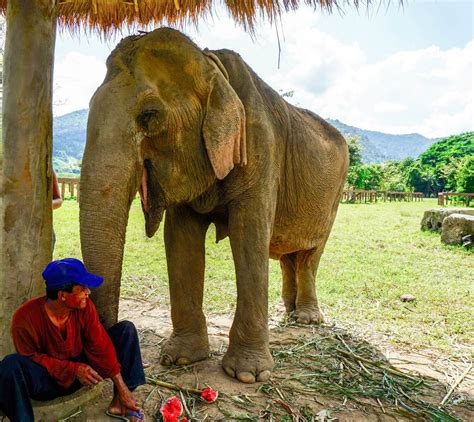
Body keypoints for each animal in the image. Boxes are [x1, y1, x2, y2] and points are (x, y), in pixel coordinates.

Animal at [80, 26, 348, 382]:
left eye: (148, 116)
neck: (211, 64)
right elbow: (180, 239)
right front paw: (180, 359)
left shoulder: (260, 148)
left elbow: (249, 236)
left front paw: (248, 375)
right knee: (288, 257)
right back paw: (286, 313)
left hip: (333, 199)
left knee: (308, 256)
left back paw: (305, 319)